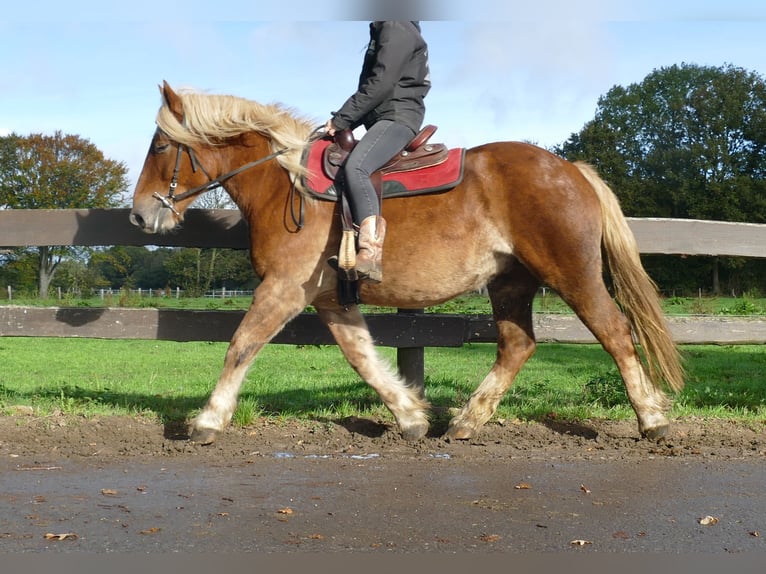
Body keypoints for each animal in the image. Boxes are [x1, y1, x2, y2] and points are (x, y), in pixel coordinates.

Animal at [129, 81, 684, 445]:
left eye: (160, 145)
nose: (138, 214)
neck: (285, 184)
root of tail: (571, 169)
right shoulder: (330, 298)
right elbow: (363, 357)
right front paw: (411, 416)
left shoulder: (284, 288)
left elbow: (241, 345)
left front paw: (208, 420)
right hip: (510, 282)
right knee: (517, 345)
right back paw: (465, 422)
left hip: (571, 273)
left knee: (614, 331)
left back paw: (652, 421)